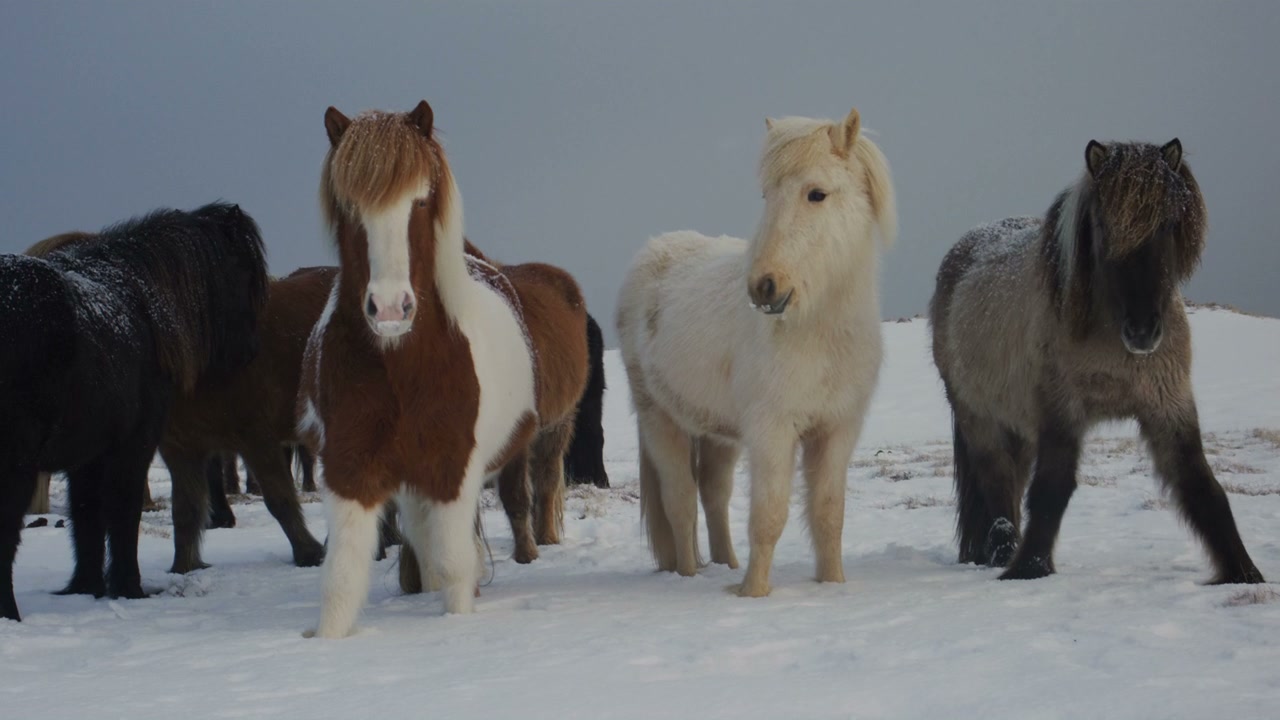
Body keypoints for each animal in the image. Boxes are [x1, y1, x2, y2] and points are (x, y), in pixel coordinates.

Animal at [0, 202, 269, 621]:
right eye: (243, 272)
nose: (250, 351)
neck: (144, 307)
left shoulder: (87, 457)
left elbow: (87, 520)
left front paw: (86, 588)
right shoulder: (132, 448)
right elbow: (123, 515)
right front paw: (129, 588)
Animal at [158, 266, 336, 573]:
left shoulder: (256, 436)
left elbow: (279, 498)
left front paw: (309, 553)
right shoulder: (181, 449)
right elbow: (185, 510)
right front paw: (184, 567)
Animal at [299, 101, 588, 638]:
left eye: (421, 200)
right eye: (348, 206)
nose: (391, 309)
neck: (401, 370)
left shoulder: (453, 473)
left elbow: (455, 568)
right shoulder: (349, 473)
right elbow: (340, 581)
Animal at [616, 108, 897, 597]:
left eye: (817, 194)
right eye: (767, 194)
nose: (764, 287)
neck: (818, 334)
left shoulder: (837, 431)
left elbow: (829, 513)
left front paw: (833, 584)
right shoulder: (772, 431)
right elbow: (769, 515)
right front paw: (753, 593)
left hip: (715, 431)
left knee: (713, 494)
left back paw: (725, 564)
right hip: (659, 419)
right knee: (680, 501)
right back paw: (689, 575)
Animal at [929, 138, 1265, 585]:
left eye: (1168, 226)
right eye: (1104, 228)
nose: (1142, 332)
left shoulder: (1169, 406)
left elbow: (1202, 488)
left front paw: (1244, 573)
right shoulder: (1062, 411)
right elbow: (1052, 489)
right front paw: (1029, 570)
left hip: (1019, 426)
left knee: (1011, 486)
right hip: (979, 419)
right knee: (998, 486)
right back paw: (1002, 554)